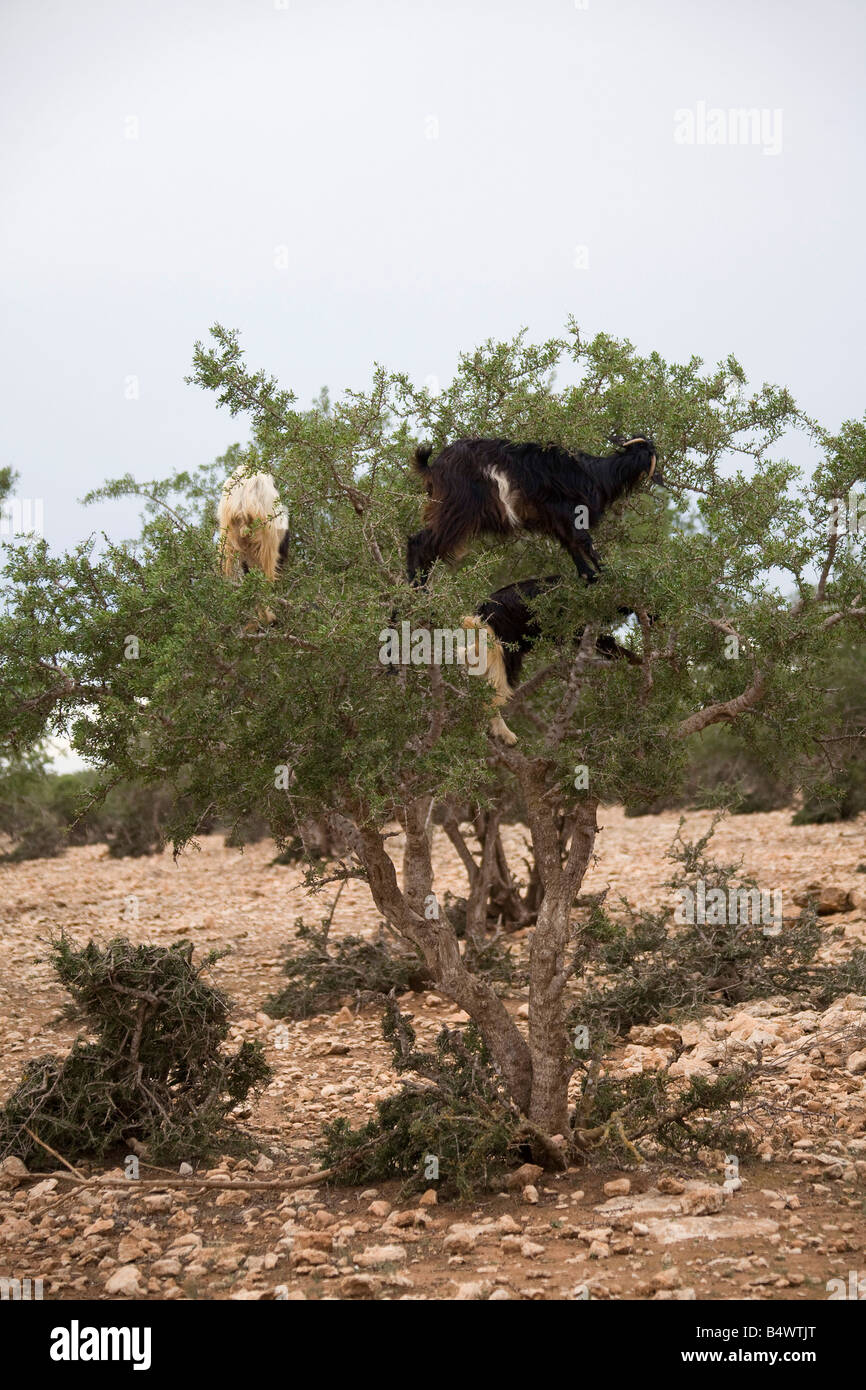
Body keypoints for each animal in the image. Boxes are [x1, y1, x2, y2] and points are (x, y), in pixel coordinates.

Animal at [408, 433, 661, 586]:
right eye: (649, 452)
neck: (596, 475)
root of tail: (433, 467)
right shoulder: (569, 513)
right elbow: (585, 542)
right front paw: (606, 572)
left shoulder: (556, 522)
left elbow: (571, 546)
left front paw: (587, 575)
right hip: (457, 511)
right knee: (420, 543)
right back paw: (417, 591)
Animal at [461, 575, 644, 745]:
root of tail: (482, 609)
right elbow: (602, 642)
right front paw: (635, 659)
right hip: (505, 646)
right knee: (495, 691)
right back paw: (505, 734)